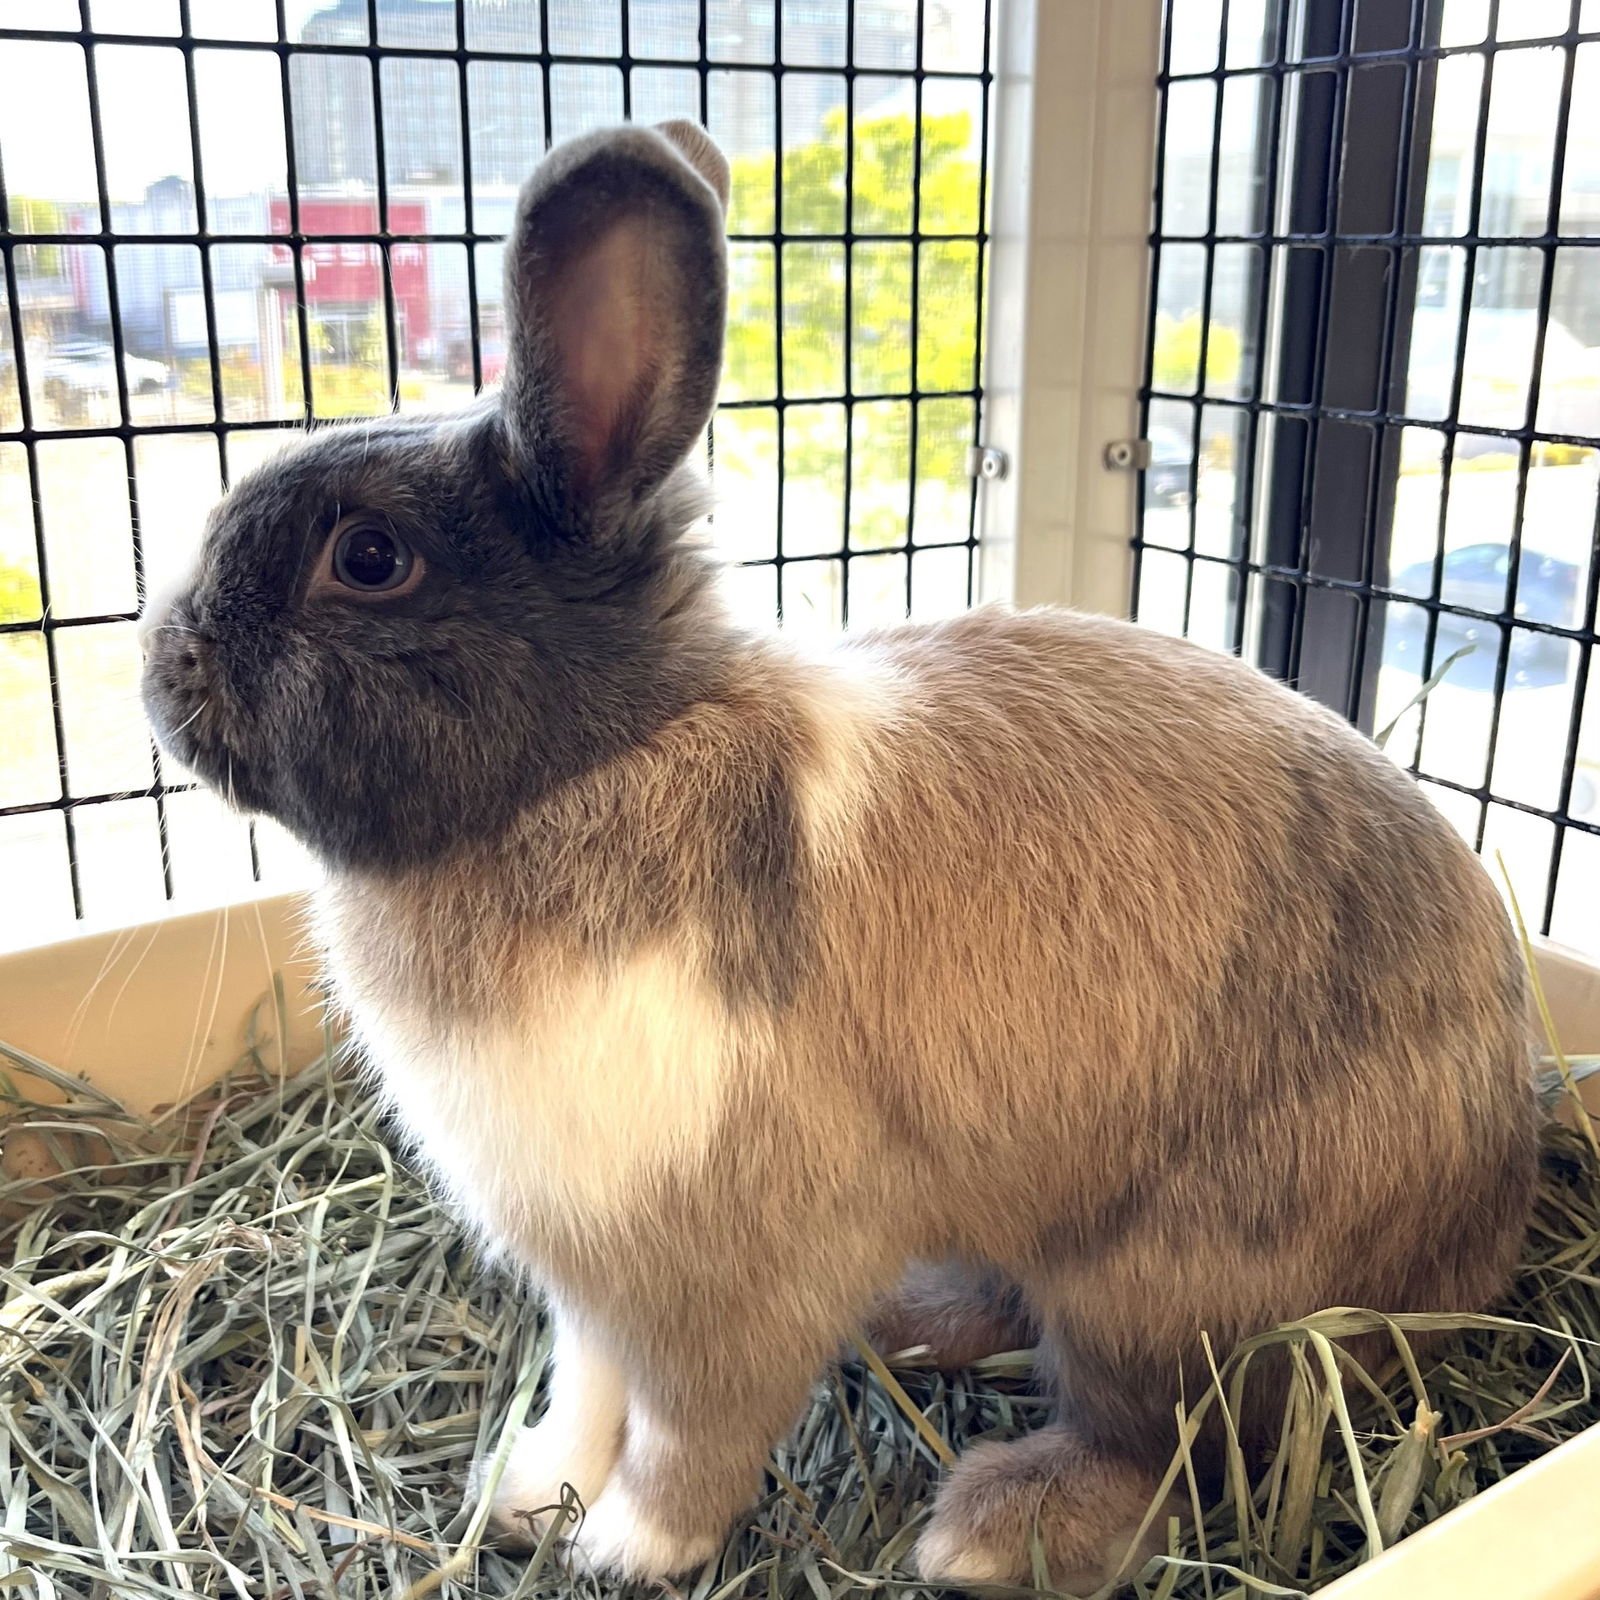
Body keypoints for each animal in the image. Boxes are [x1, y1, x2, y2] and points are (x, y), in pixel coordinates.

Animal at [141, 119, 1539, 1592]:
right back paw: (917, 1324)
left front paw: (629, 1546)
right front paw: (528, 1499)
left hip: (1179, 1281)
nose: (161, 660)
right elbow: (586, 1390)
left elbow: (693, 1426)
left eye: (368, 558)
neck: (594, 767)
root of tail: (1486, 1217)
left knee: (1174, 1441)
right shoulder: (592, 1274)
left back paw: (993, 1527)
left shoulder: (725, 1266)